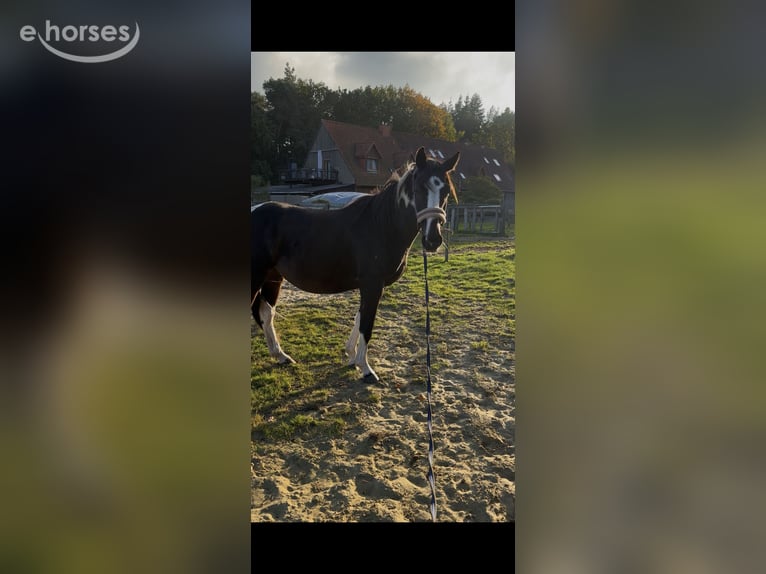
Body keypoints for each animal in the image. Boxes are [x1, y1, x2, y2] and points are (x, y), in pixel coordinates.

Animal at [251, 146, 460, 382]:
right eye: (419, 188)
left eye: (446, 192)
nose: (433, 240)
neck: (382, 226)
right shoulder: (372, 285)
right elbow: (366, 324)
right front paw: (366, 368)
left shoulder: (370, 286)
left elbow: (359, 318)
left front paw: (351, 356)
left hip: (272, 278)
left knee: (266, 312)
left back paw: (280, 355)